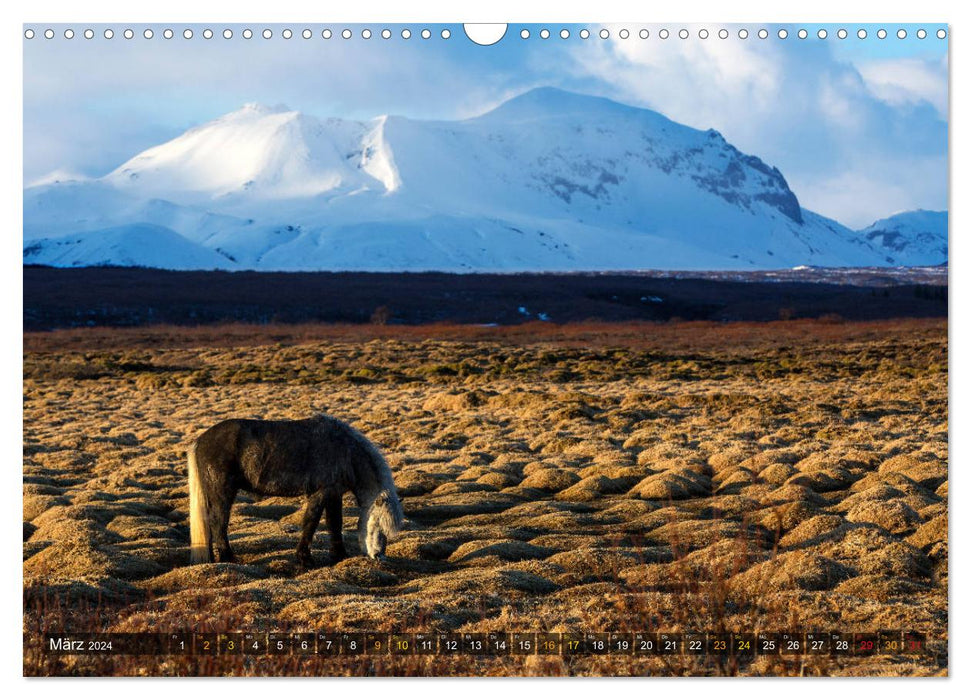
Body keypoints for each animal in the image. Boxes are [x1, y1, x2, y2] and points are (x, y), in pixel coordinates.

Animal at [188, 416, 404, 568]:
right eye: (379, 524)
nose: (379, 556)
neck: (345, 451)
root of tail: (200, 441)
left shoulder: (334, 494)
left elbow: (335, 524)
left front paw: (339, 555)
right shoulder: (321, 493)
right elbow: (311, 523)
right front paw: (305, 559)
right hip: (223, 493)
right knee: (218, 523)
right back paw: (228, 558)